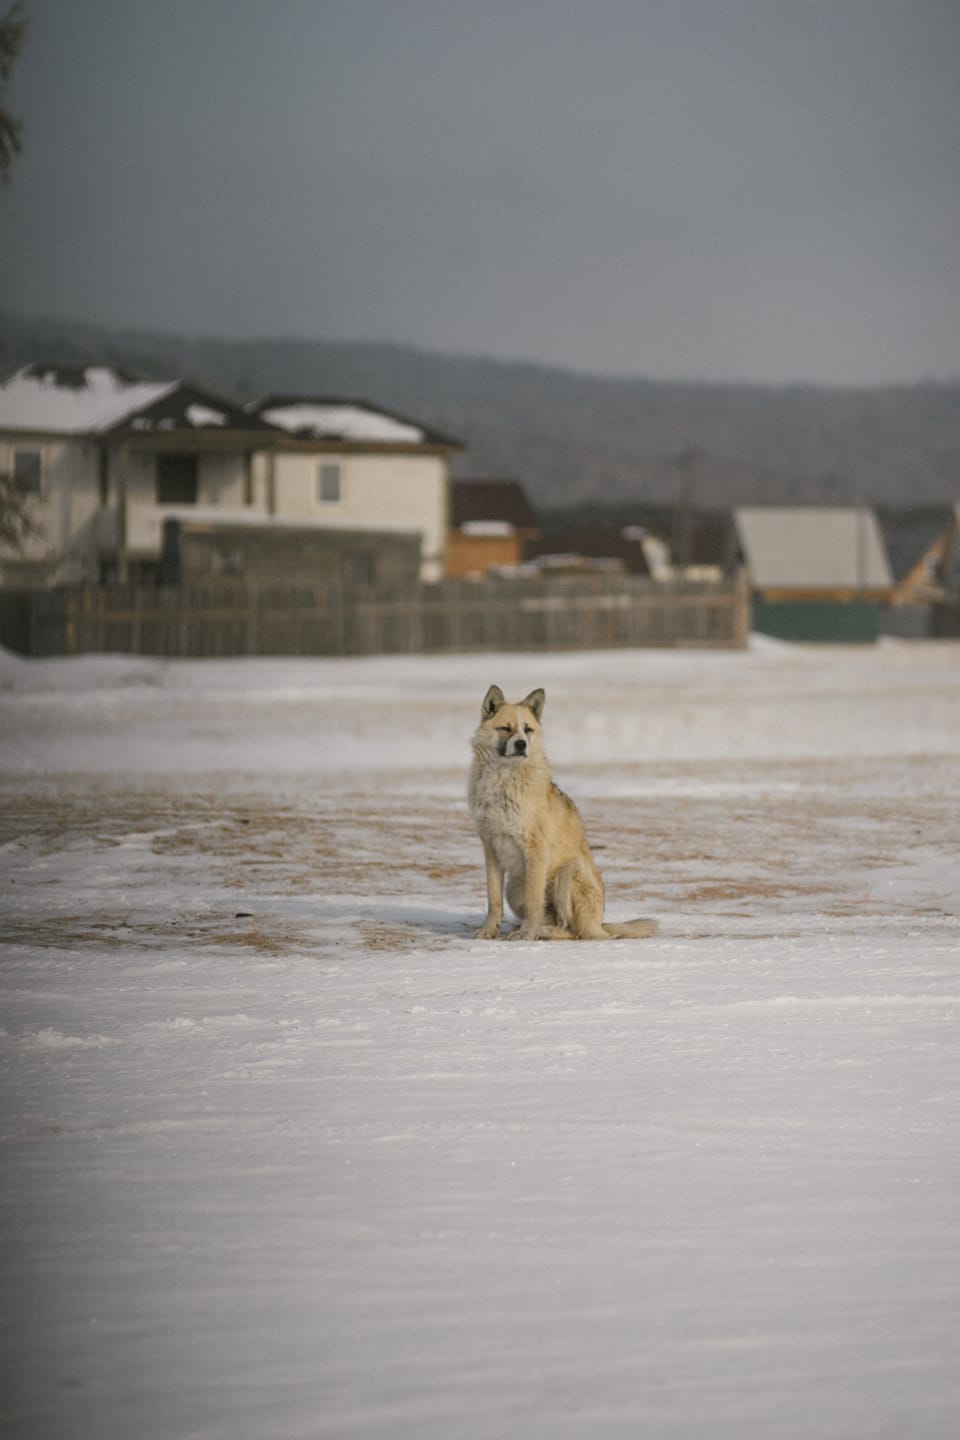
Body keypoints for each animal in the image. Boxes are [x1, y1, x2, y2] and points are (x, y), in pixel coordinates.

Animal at [469, 685, 656, 944]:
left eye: (528, 730)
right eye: (505, 728)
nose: (521, 744)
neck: (504, 778)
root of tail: (600, 924)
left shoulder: (535, 849)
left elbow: (534, 902)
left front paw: (526, 934)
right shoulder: (491, 848)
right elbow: (493, 899)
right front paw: (489, 930)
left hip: (568, 873)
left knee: (574, 930)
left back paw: (542, 931)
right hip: (514, 887)